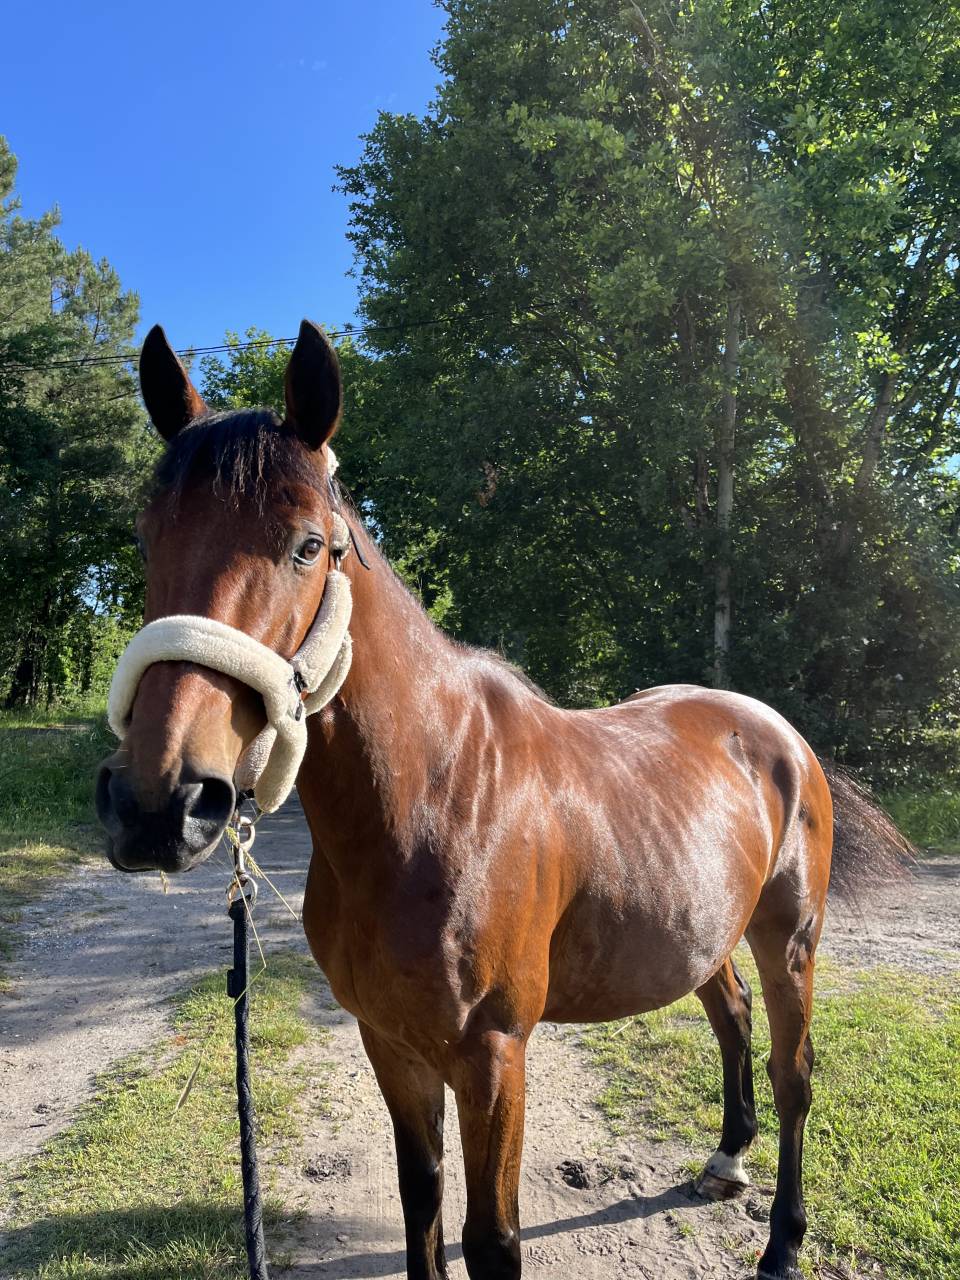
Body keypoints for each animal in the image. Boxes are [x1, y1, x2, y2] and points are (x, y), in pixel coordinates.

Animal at [96, 320, 909, 1280]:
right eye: (149, 537)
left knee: (795, 1074)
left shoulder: (492, 1056)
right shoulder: (390, 1044)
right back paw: (726, 1157)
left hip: (789, 935)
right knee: (733, 1017)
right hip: (704, 930)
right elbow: (420, 1204)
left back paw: (782, 1243)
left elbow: (493, 1240)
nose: (159, 804)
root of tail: (779, 734)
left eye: (306, 544)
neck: (430, 803)